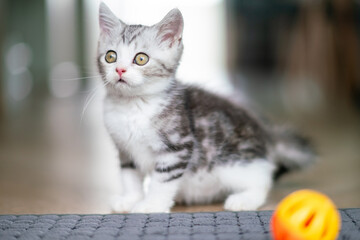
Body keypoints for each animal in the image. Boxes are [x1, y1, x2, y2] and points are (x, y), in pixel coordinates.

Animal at [97, 3, 314, 214]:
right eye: (110, 56)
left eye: (141, 59)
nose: (120, 70)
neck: (132, 105)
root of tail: (266, 133)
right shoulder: (124, 149)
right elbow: (129, 175)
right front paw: (129, 200)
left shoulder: (177, 147)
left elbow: (163, 180)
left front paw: (151, 205)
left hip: (233, 165)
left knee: (263, 180)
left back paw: (244, 199)